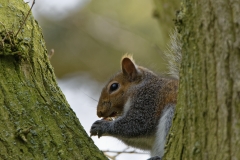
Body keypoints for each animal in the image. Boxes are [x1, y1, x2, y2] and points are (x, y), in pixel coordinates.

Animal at [91, 29, 181, 159]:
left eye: (114, 86)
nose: (99, 113)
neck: (139, 87)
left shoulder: (148, 100)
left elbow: (138, 124)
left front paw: (103, 126)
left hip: (171, 113)